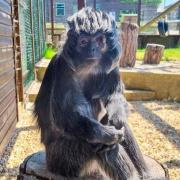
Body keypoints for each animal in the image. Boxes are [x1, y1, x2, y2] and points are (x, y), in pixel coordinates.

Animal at [34, 7, 148, 180]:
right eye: (83, 42)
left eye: (100, 40)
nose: (92, 49)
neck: (86, 67)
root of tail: (49, 163)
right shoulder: (63, 66)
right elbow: (64, 116)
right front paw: (106, 134)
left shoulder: (111, 66)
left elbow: (115, 97)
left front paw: (118, 118)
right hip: (65, 159)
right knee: (99, 145)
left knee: (120, 126)